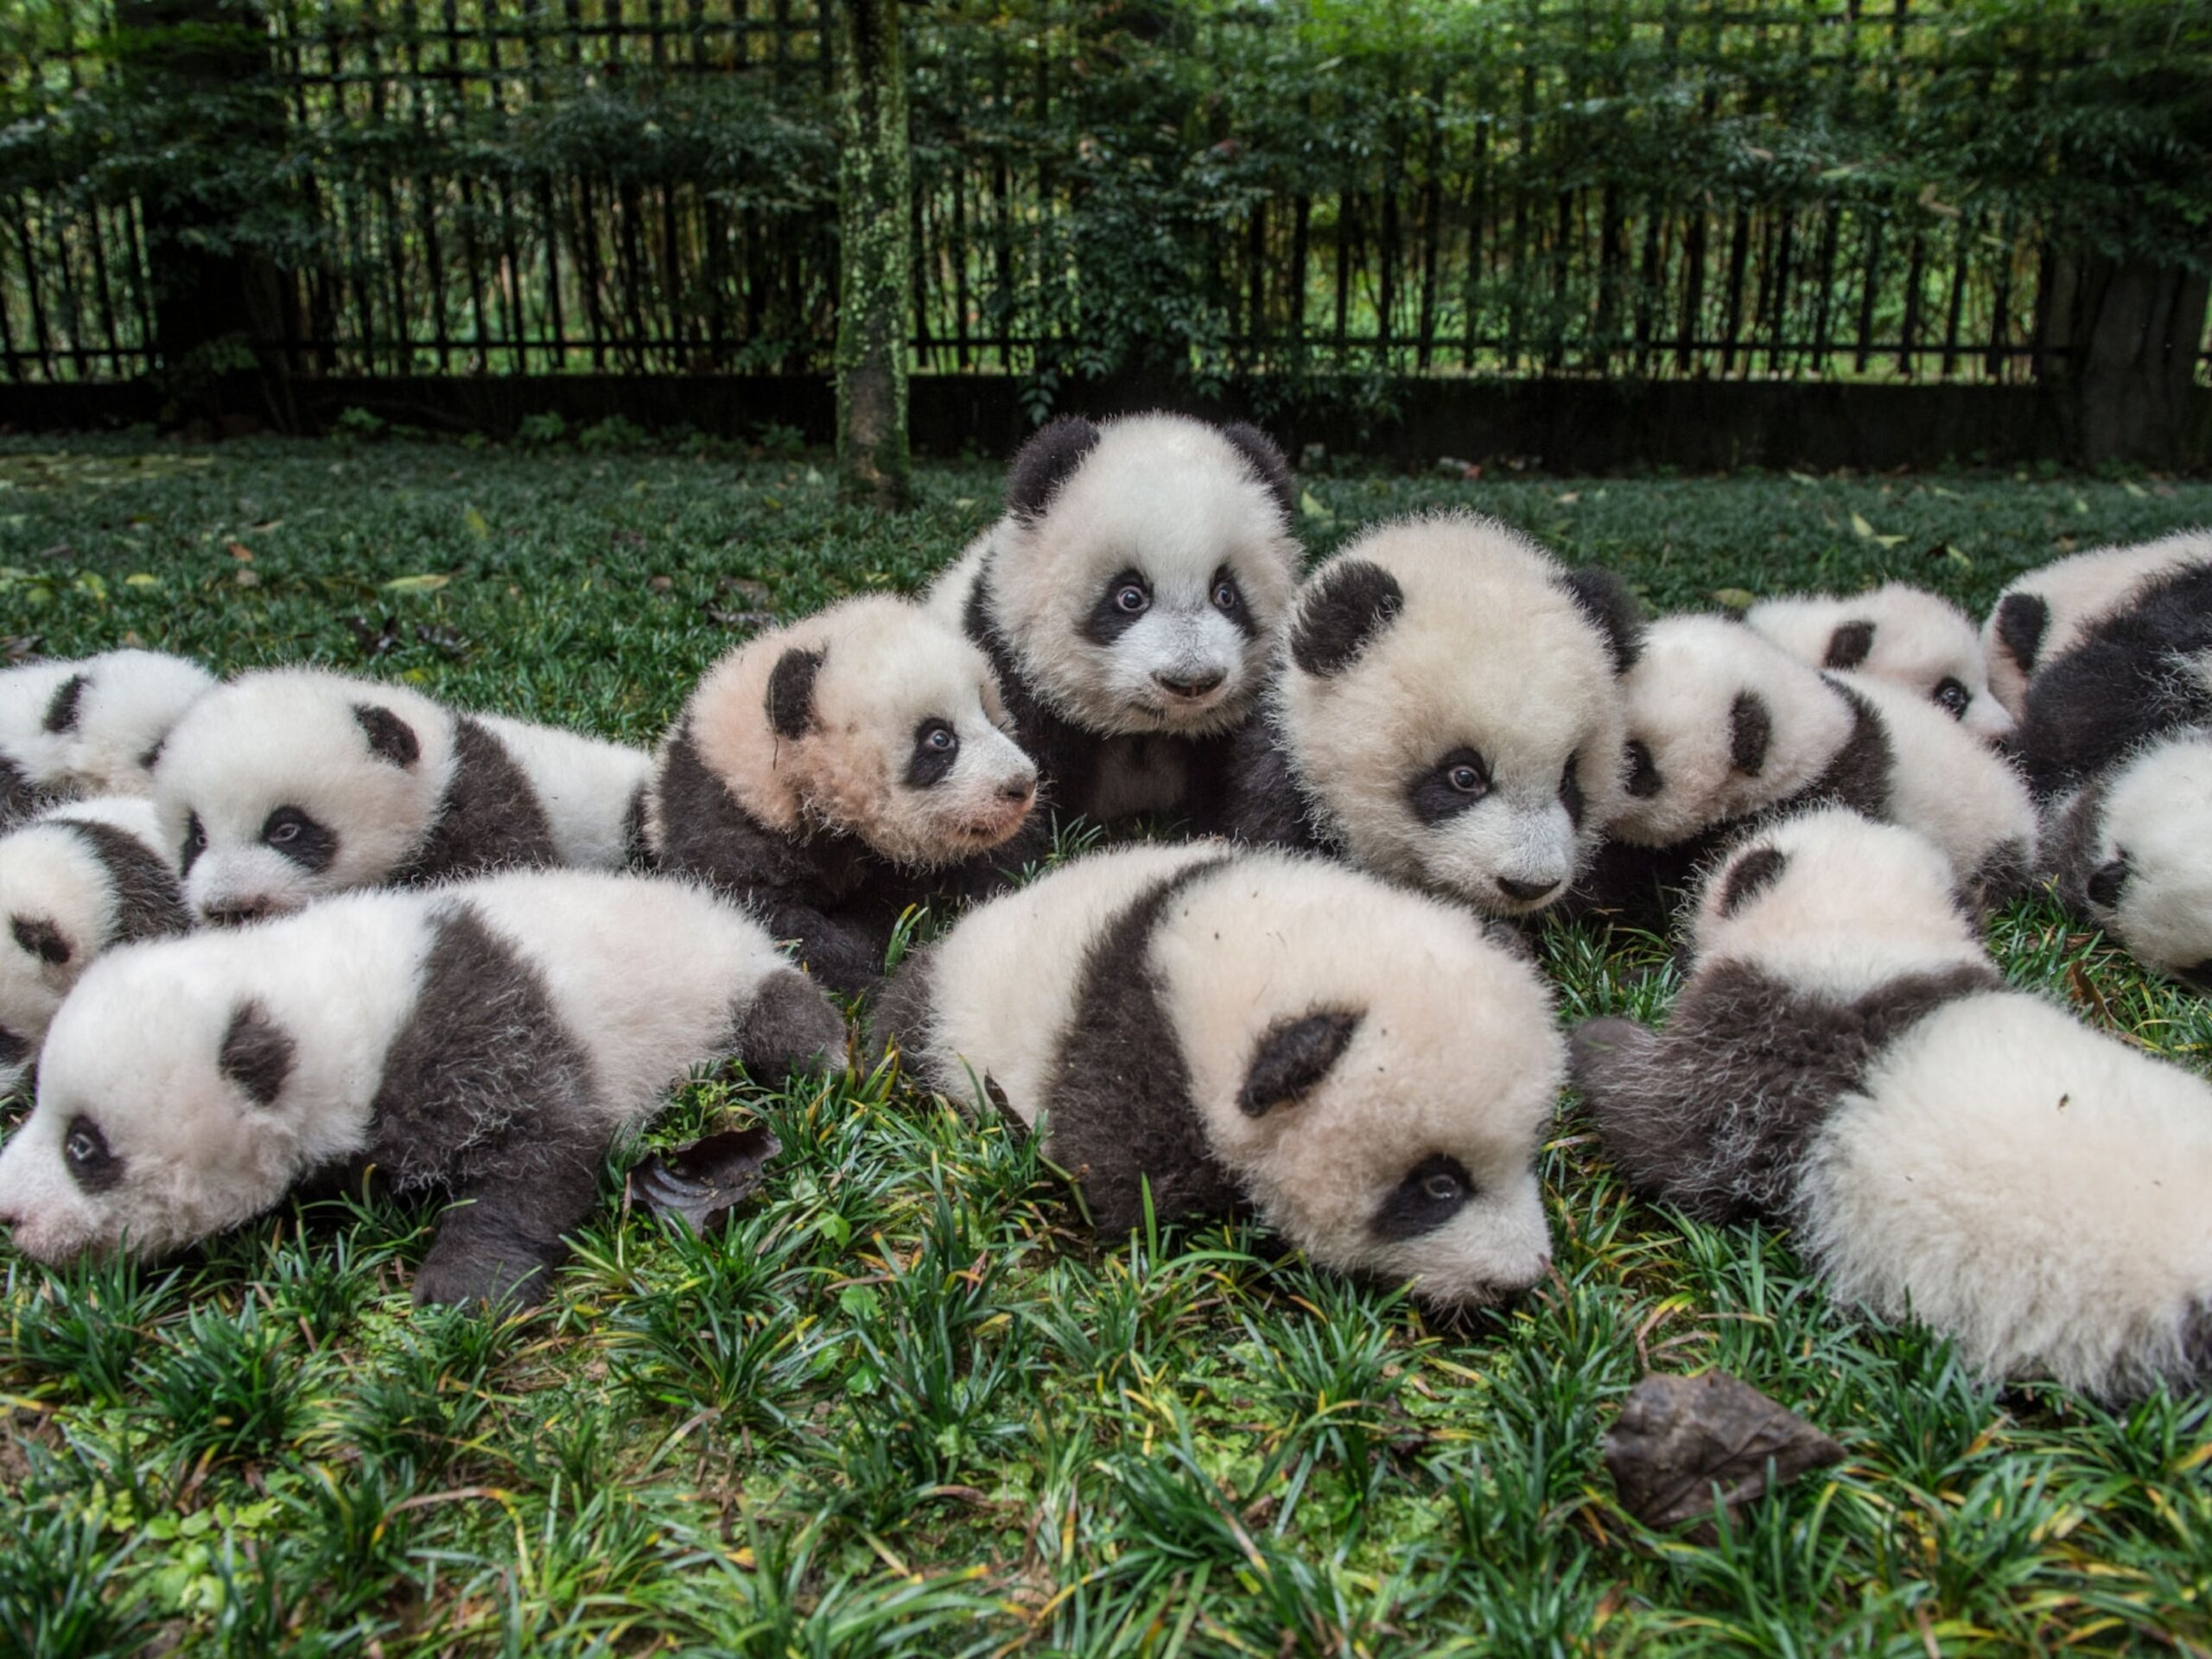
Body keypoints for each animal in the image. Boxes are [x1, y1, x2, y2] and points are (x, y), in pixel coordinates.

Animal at [0, 869, 846, 1306]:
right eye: (34, 1101)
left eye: (84, 1147)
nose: (10, 1216)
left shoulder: (479, 1030)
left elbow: (546, 1149)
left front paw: (465, 1289)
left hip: (719, 979)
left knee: (782, 1020)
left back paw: (828, 1056)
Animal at [650, 595, 1039, 994]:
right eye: (940, 738)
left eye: (990, 716)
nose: (1021, 784)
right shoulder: (724, 819)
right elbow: (771, 918)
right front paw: (855, 971)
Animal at [873, 843, 1563, 1309]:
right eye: (1439, 1186)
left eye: (1529, 1153)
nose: (1521, 1276)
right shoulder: (1138, 1050)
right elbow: (1122, 1185)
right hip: (952, 1020)